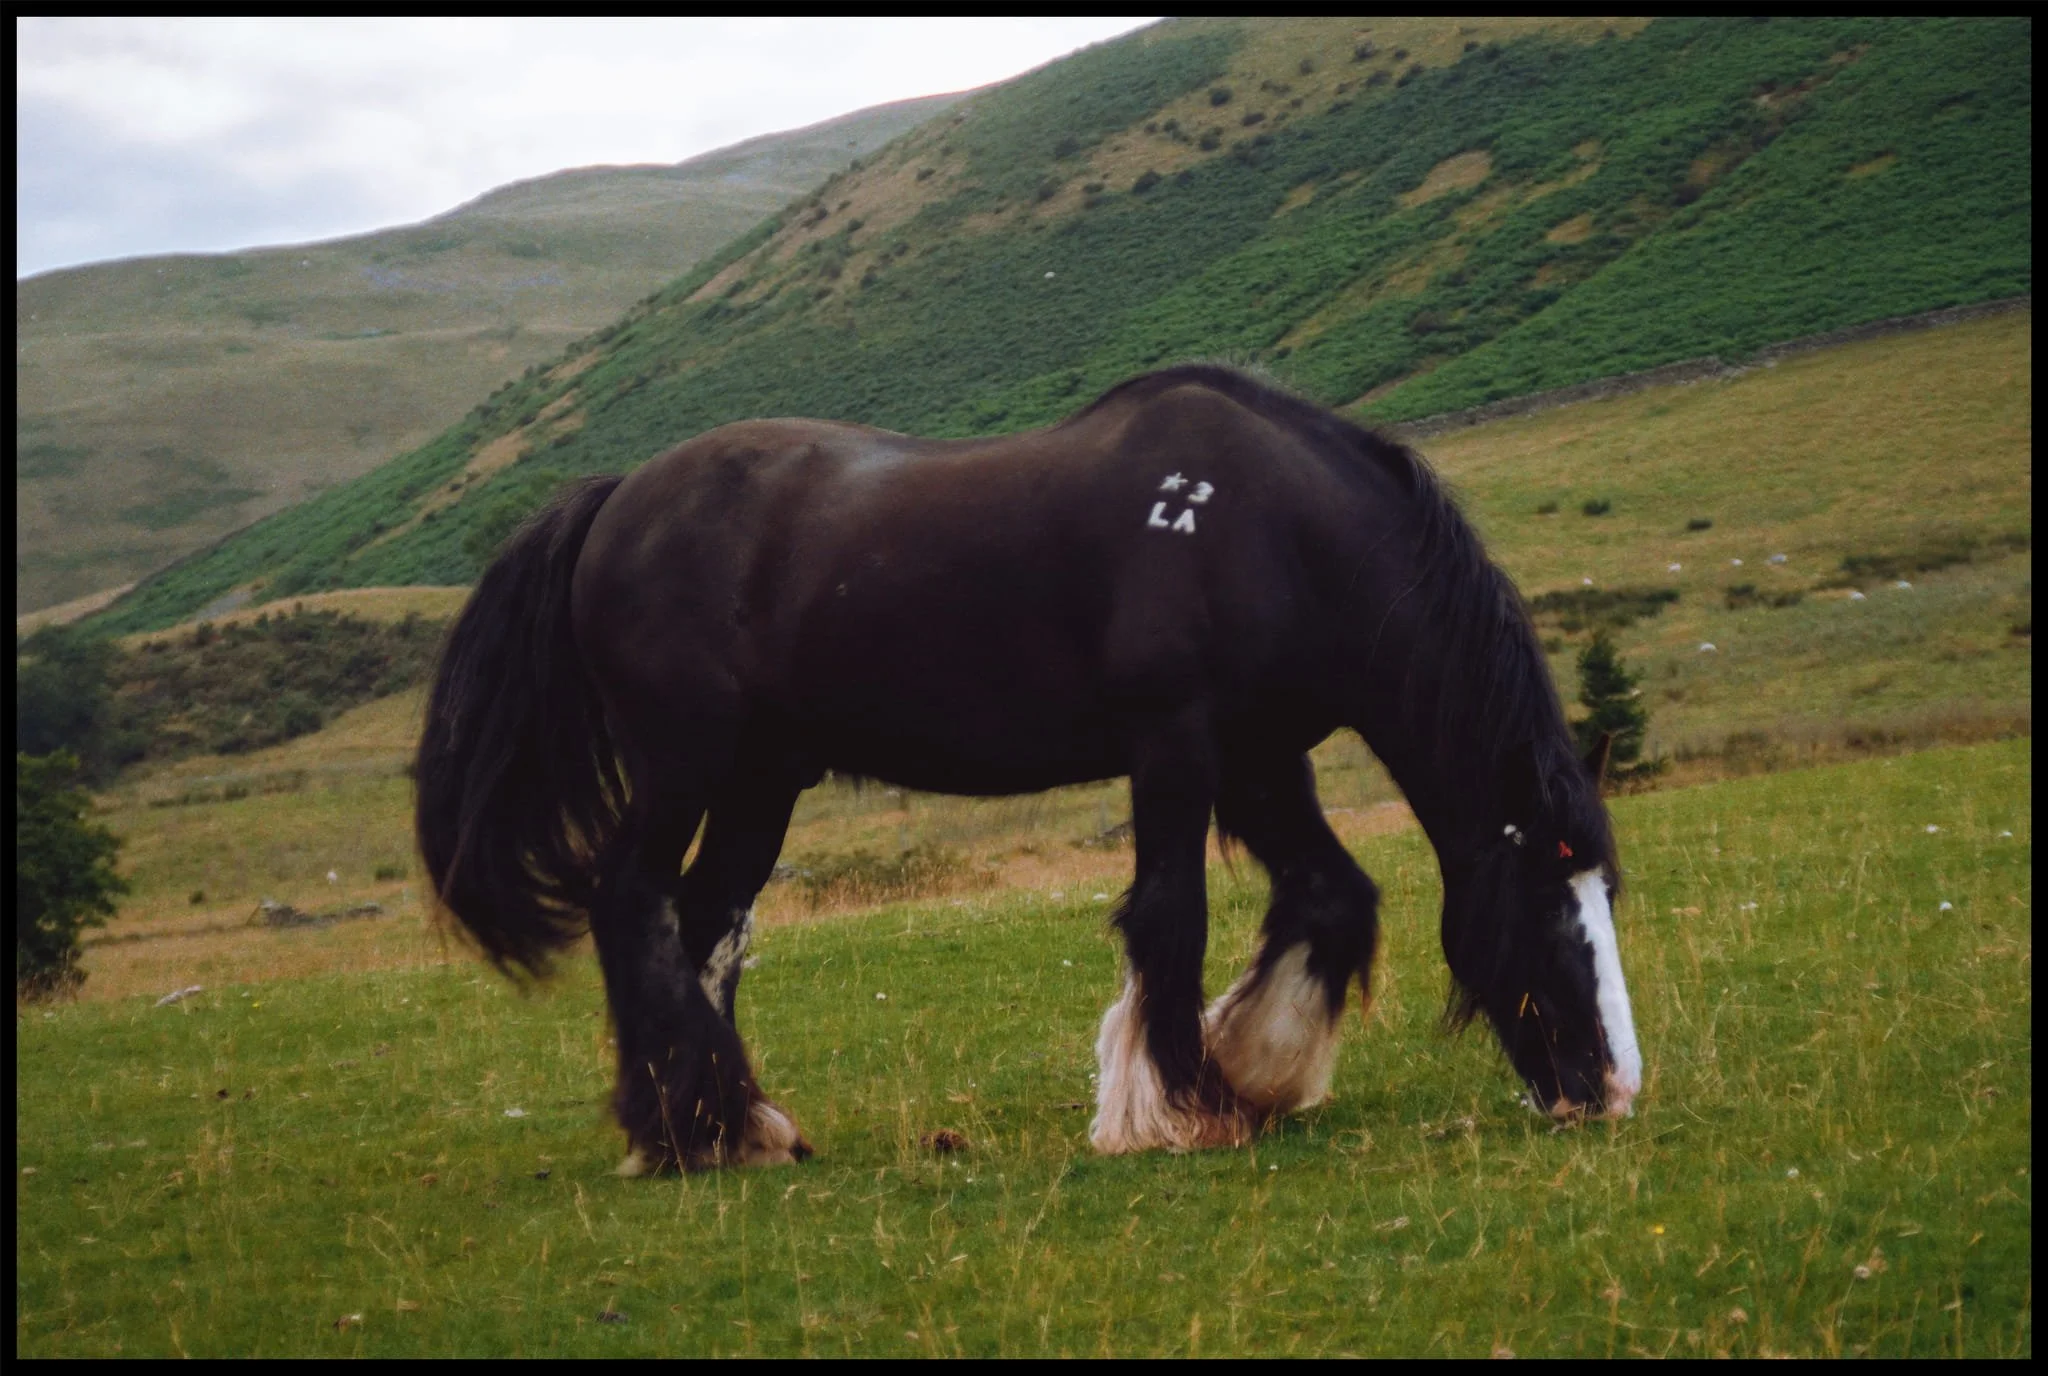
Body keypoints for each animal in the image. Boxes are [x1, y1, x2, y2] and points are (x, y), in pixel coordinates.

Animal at [415, 364, 1642, 1173]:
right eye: (1549, 899)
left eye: (1605, 892)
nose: (1611, 1090)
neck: (1267, 525)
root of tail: (614, 499)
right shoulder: (1175, 741)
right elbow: (1170, 913)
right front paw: (1183, 1102)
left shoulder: (1256, 753)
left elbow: (1331, 896)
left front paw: (1259, 1066)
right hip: (683, 764)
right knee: (631, 902)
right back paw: (694, 1123)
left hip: (762, 779)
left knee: (704, 920)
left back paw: (714, 1124)